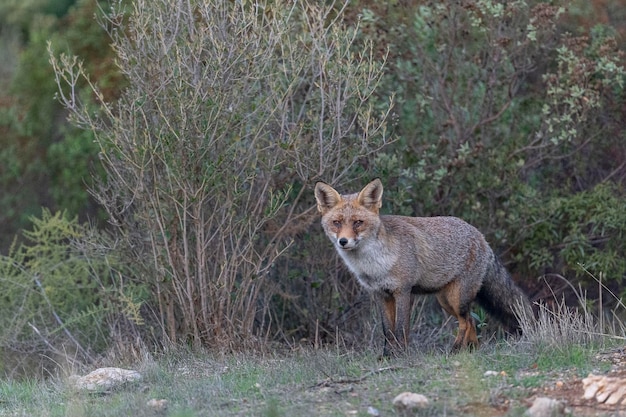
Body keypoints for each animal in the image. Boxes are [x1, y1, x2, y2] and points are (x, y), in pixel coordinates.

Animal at [314, 177, 528, 356]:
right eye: (336, 222)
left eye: (358, 223)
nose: (343, 241)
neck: (374, 265)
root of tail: (481, 236)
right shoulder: (380, 294)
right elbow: (387, 331)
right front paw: (386, 357)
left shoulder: (403, 291)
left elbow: (401, 329)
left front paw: (401, 356)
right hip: (446, 300)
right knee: (471, 320)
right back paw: (471, 350)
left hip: (457, 298)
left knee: (465, 322)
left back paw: (454, 350)